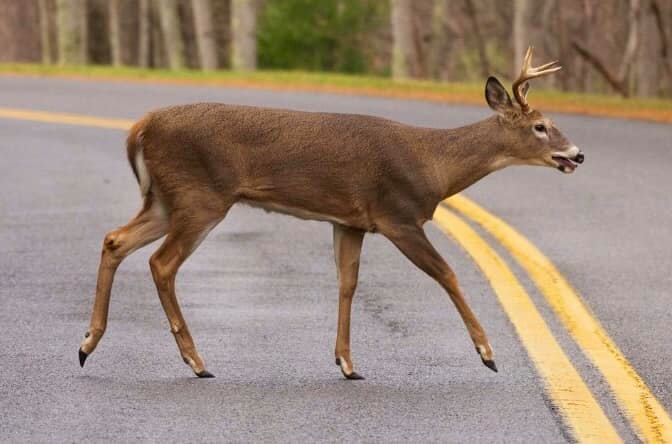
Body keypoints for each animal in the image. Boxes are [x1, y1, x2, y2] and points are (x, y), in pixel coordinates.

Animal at [79, 47, 583, 379]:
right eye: (541, 127)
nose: (577, 155)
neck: (434, 167)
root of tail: (140, 127)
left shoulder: (350, 221)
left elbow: (347, 284)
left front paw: (346, 362)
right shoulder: (398, 215)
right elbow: (447, 273)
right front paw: (487, 352)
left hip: (167, 200)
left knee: (115, 239)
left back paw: (88, 344)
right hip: (200, 196)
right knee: (161, 263)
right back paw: (196, 362)